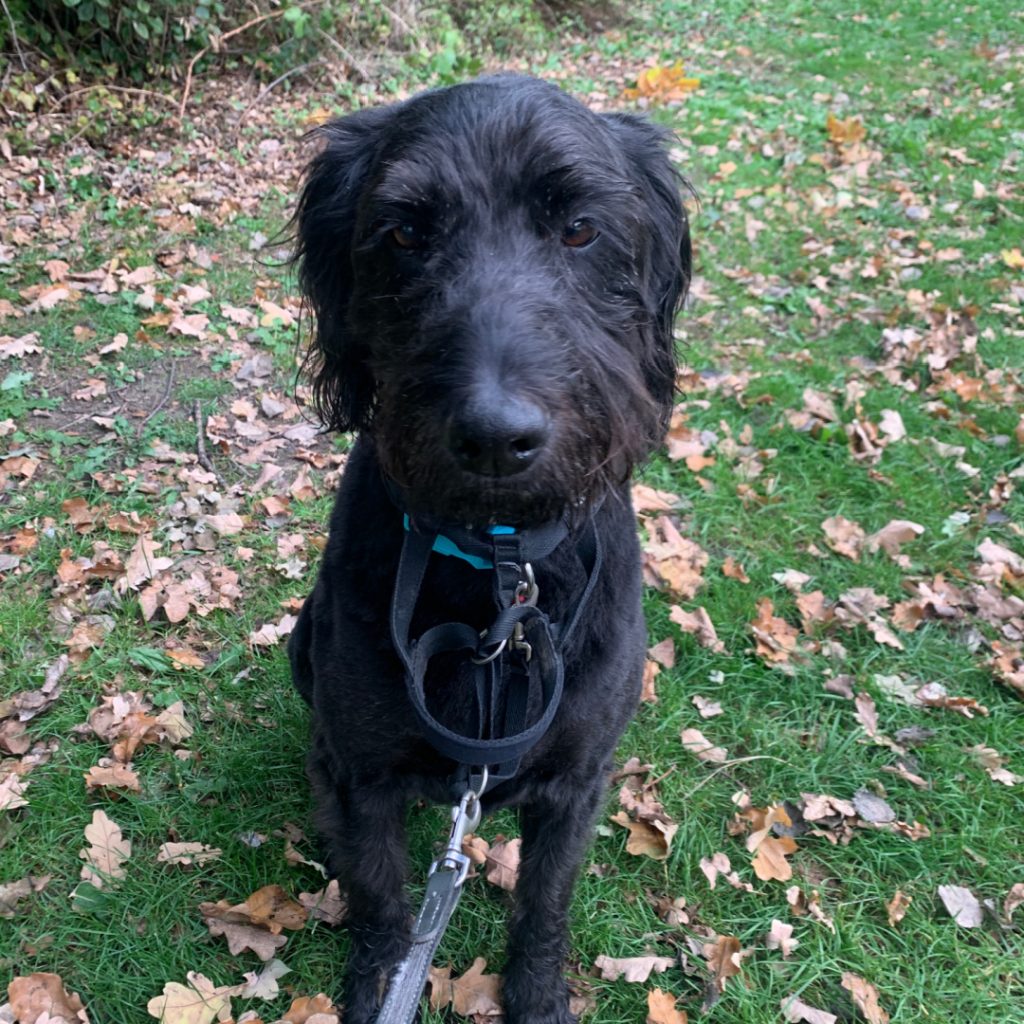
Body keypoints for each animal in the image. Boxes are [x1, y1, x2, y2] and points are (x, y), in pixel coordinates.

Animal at [288, 74, 688, 1024]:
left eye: (579, 227)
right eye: (404, 233)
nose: (497, 438)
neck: (502, 576)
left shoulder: (578, 784)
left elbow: (545, 904)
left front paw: (537, 996)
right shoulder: (363, 777)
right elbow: (380, 899)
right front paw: (377, 986)